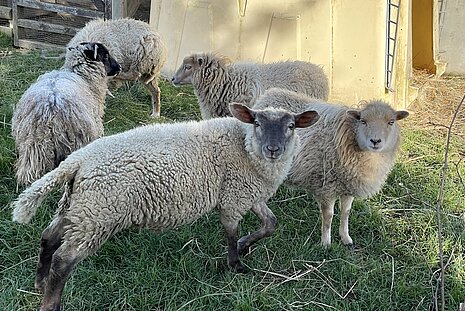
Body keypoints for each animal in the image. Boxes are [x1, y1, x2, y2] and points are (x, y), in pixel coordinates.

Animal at [10, 103, 320, 310]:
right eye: (257, 123)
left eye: (291, 126)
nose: (273, 149)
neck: (245, 147)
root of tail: (77, 160)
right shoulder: (233, 198)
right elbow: (231, 235)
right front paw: (236, 265)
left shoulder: (250, 194)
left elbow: (271, 224)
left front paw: (246, 244)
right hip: (98, 213)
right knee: (64, 260)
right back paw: (51, 303)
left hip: (80, 208)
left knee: (48, 238)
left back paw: (40, 283)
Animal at [11, 42, 120, 186]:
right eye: (106, 55)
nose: (119, 68)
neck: (82, 75)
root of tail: (49, 107)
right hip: (76, 139)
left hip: (33, 142)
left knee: (29, 167)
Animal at [250, 88, 406, 249]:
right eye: (363, 121)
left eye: (391, 122)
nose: (375, 141)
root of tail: (270, 94)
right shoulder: (326, 187)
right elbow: (328, 216)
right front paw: (325, 243)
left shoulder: (348, 185)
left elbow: (346, 212)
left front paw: (346, 238)